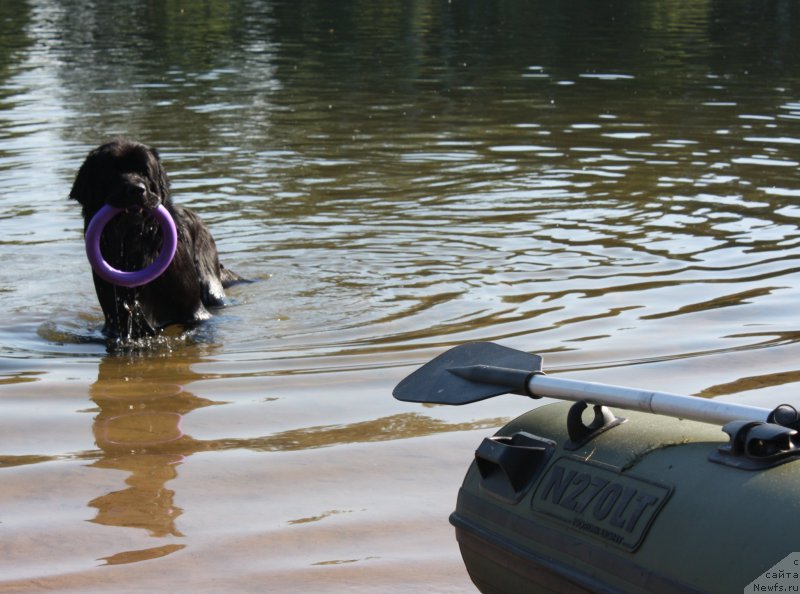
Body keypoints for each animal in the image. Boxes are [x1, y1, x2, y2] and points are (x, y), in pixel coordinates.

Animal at [70, 139, 242, 342]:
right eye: (113, 171)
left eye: (145, 171)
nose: (137, 189)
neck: (135, 247)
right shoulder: (116, 319)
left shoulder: (193, 310)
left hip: (210, 282)